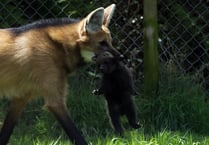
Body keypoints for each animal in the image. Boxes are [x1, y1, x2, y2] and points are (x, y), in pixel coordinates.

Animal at [0, 3, 119, 145]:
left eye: (110, 42)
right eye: (102, 43)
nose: (121, 57)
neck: (58, 46)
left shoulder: (21, 97)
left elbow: (6, 130)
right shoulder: (55, 101)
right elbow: (75, 133)